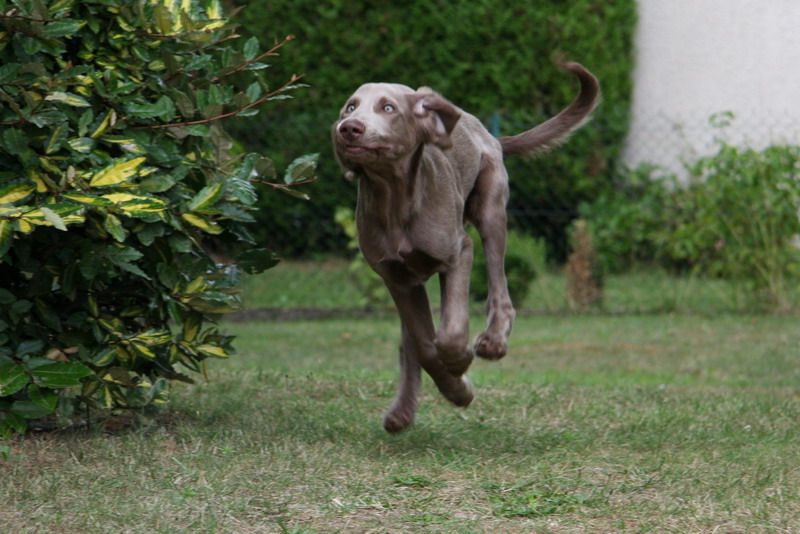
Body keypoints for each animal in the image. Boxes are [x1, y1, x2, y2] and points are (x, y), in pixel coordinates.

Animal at [328, 60, 596, 434]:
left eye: (388, 108)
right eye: (351, 107)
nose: (348, 128)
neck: (393, 198)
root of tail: (485, 131)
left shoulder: (458, 251)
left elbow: (451, 332)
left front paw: (459, 365)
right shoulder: (395, 277)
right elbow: (425, 346)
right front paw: (454, 388)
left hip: (491, 207)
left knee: (500, 287)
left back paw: (493, 341)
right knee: (412, 341)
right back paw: (402, 412)